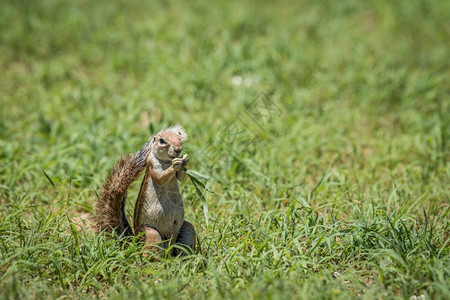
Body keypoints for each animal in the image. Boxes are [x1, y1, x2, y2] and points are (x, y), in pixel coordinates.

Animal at [96, 124, 196, 255]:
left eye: (179, 138)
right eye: (162, 141)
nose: (178, 149)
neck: (166, 161)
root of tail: (135, 243)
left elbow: (181, 177)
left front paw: (185, 159)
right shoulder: (152, 163)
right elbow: (160, 178)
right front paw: (176, 164)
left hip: (187, 229)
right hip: (152, 233)